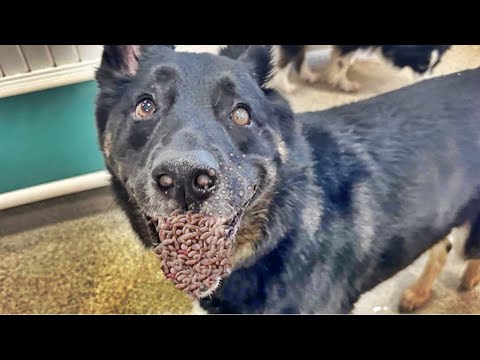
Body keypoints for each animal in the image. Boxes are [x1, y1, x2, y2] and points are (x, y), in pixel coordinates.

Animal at [276, 44, 452, 92]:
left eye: (435, 65)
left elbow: (339, 59)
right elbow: (343, 62)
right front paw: (344, 84)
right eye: (422, 66)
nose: (428, 84)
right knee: (285, 60)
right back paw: (286, 87)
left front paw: (333, 75)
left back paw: (308, 75)